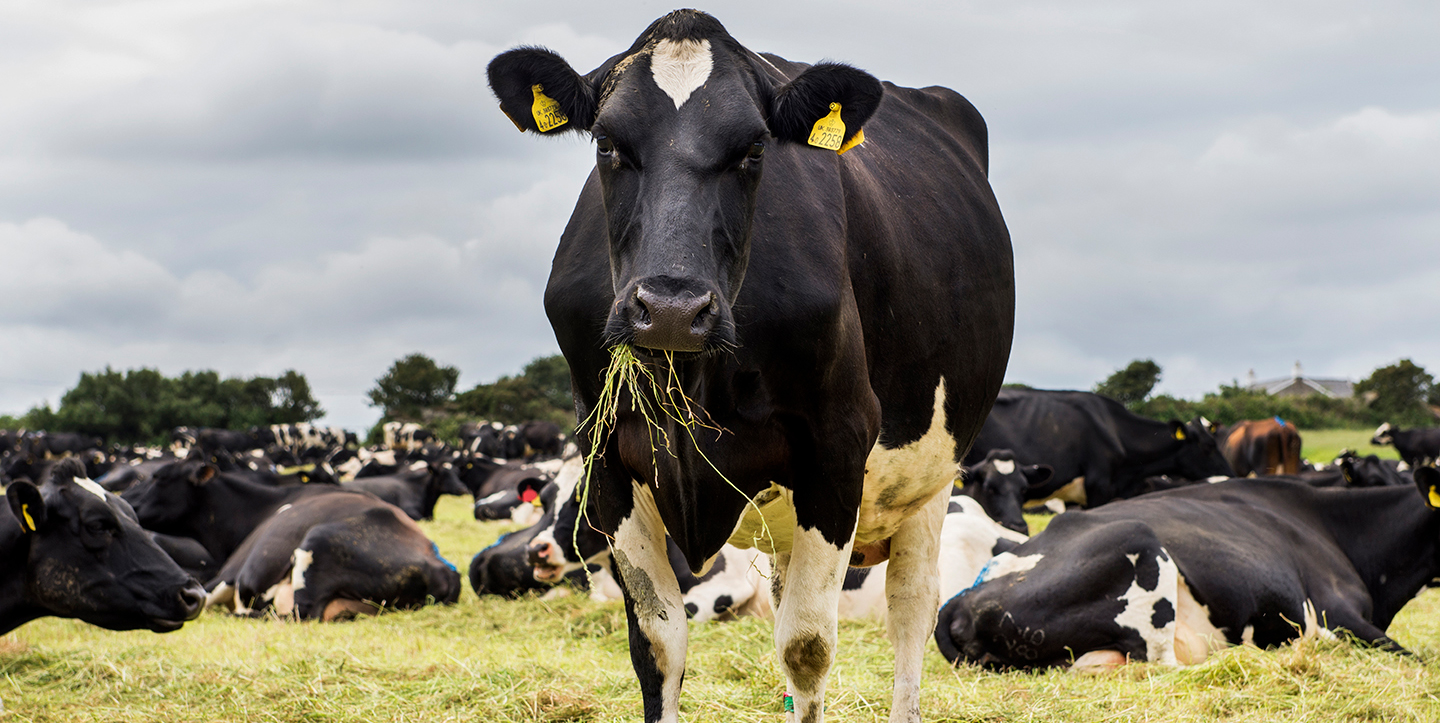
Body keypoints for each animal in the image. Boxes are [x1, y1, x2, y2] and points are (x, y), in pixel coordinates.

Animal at [488, 10, 1014, 721]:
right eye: (606, 144)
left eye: (756, 150)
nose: (672, 308)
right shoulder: (607, 454)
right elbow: (657, 643)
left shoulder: (837, 446)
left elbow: (807, 647)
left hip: (932, 474)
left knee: (911, 605)